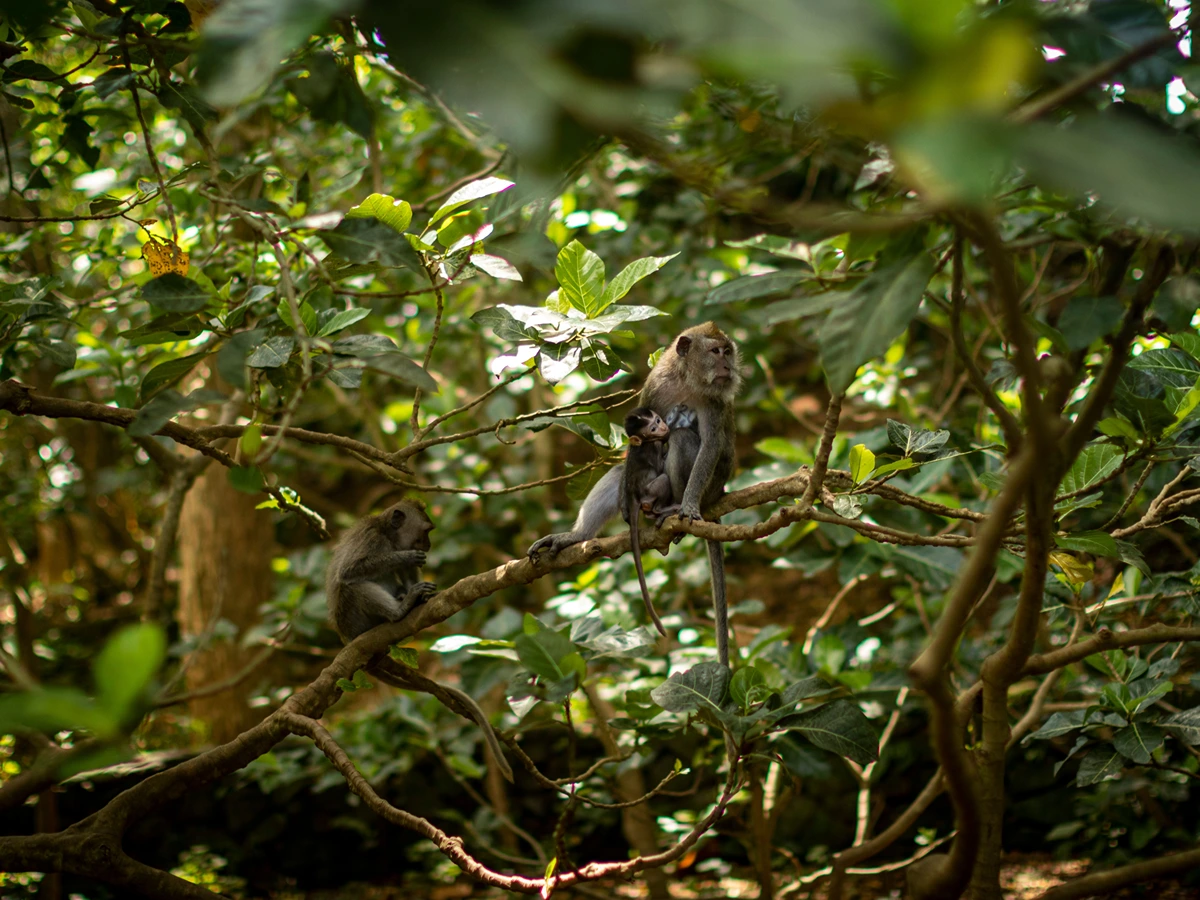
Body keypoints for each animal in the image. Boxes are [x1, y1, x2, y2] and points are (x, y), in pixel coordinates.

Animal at [326, 501, 514, 782]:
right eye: (426, 531)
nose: (428, 544)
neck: (389, 537)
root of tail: (347, 637)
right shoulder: (372, 539)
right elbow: (350, 570)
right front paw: (402, 558)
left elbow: (407, 574)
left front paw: (423, 595)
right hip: (352, 619)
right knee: (352, 586)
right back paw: (399, 610)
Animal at [621, 406, 680, 637]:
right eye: (653, 429)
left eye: (657, 420)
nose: (663, 427)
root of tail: (634, 497)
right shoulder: (652, 448)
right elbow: (661, 465)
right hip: (649, 492)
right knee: (662, 479)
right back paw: (661, 510)